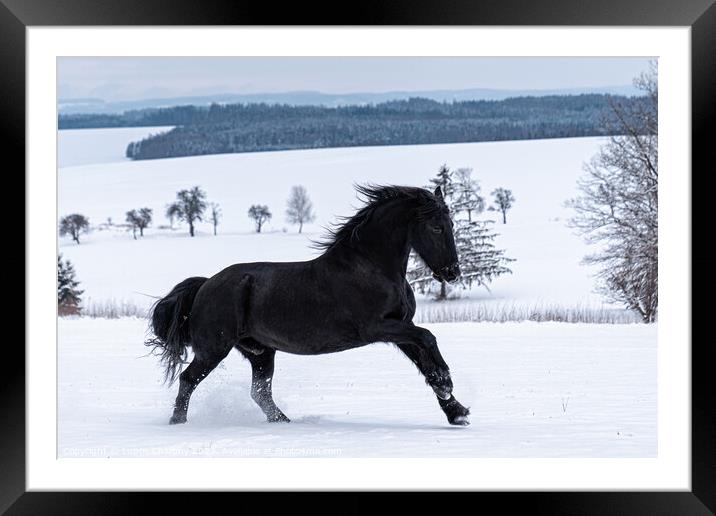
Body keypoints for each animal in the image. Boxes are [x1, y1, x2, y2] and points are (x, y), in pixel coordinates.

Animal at [145, 183, 470, 426]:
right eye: (436, 227)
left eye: (451, 223)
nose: (452, 272)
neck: (370, 266)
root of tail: (205, 285)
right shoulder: (377, 328)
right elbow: (429, 337)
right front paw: (446, 385)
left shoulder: (401, 328)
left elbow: (425, 361)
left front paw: (456, 411)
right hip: (214, 349)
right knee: (188, 379)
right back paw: (177, 423)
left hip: (260, 352)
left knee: (260, 392)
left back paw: (284, 422)